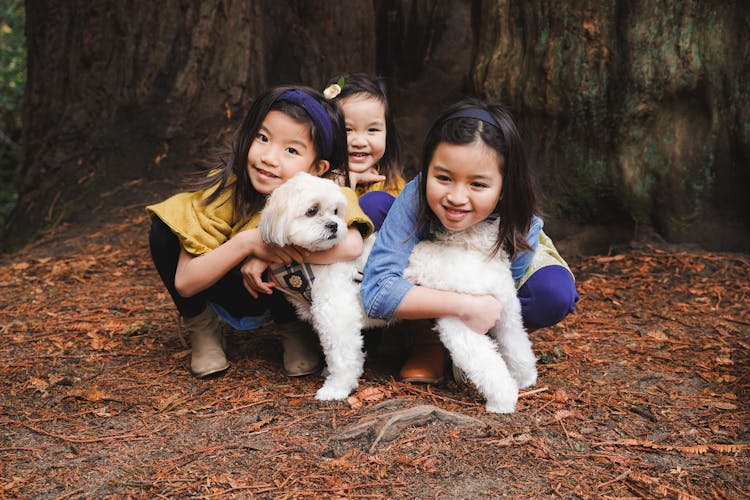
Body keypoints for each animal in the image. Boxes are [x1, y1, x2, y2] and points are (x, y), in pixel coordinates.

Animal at [262, 173, 536, 414]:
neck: (317, 262)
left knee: (489, 363)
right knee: (518, 345)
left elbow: (343, 358)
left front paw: (335, 388)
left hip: (463, 320)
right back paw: (526, 378)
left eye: (335, 211)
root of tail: (479, 255)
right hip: (507, 315)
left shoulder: (338, 318)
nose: (334, 226)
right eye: (312, 210)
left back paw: (502, 402)